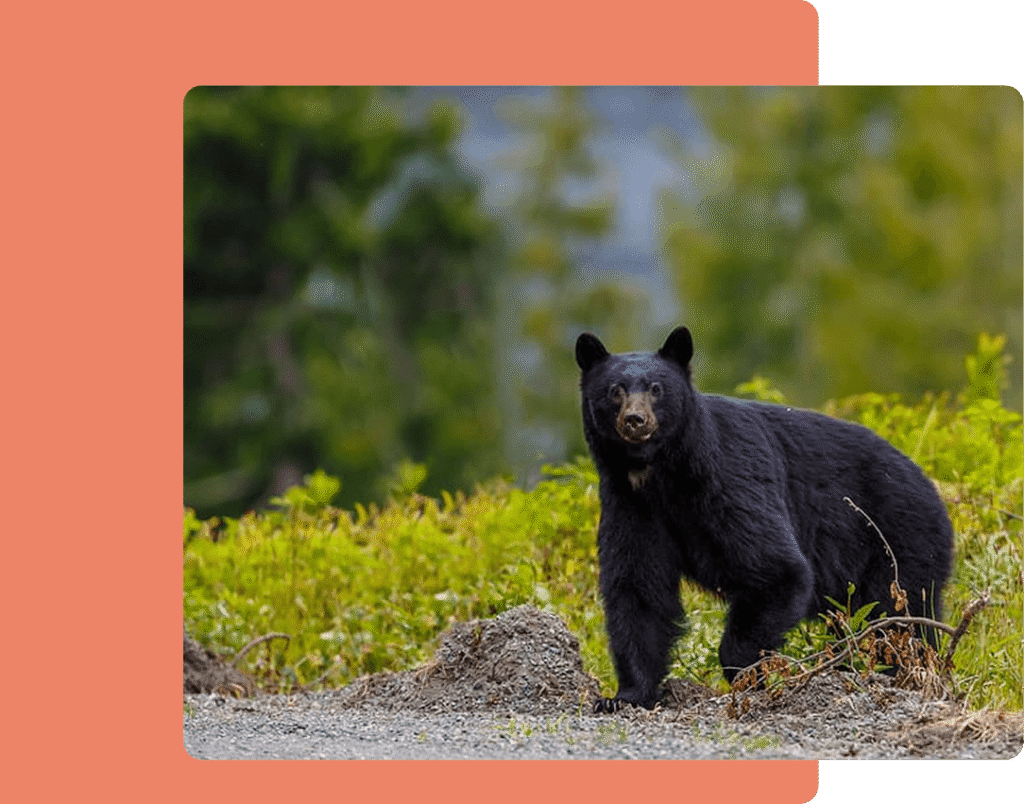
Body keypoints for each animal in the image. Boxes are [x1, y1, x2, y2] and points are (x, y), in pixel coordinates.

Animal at [575, 326, 954, 712]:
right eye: (615, 390)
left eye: (656, 388)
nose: (635, 421)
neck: (662, 474)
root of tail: (933, 488)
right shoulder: (631, 505)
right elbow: (638, 590)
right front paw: (625, 695)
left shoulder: (731, 480)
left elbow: (776, 569)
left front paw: (746, 675)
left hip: (897, 538)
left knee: (896, 614)